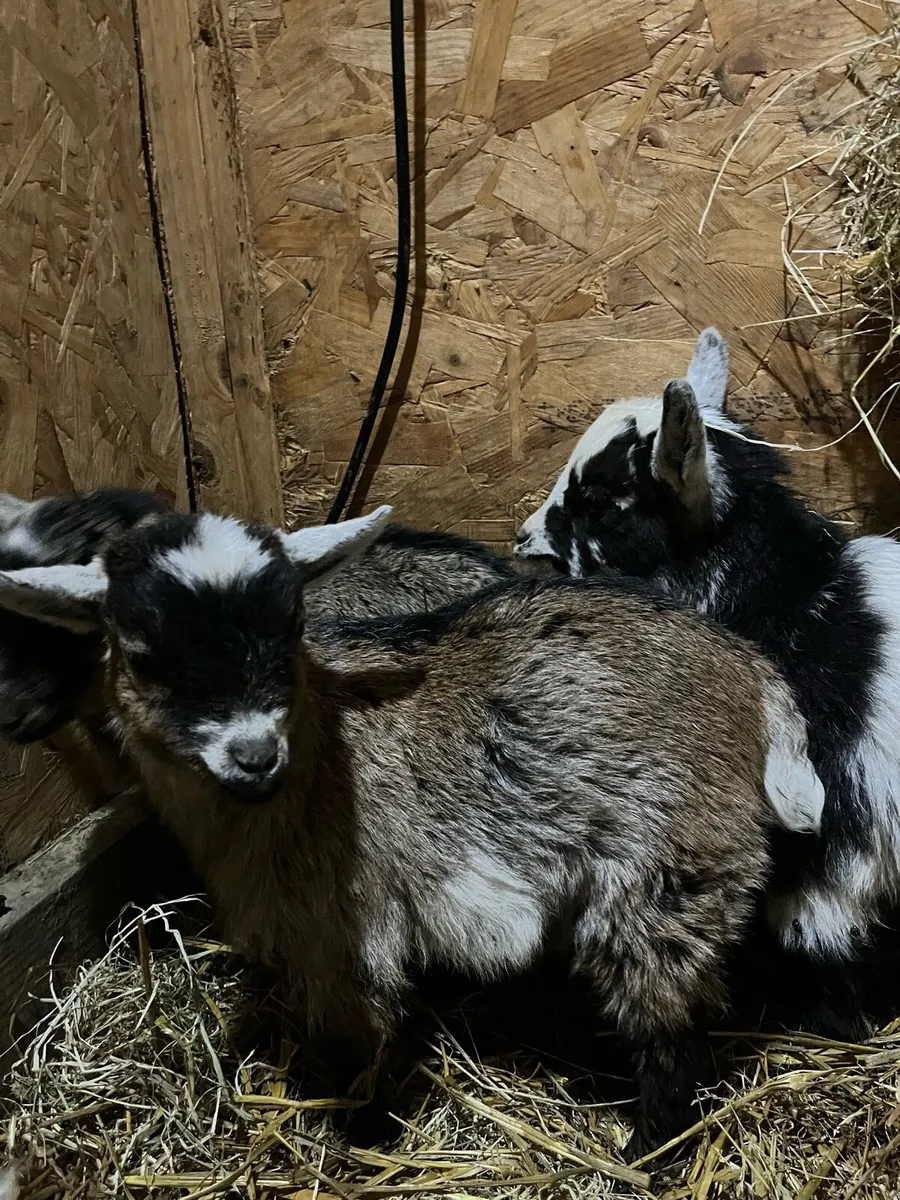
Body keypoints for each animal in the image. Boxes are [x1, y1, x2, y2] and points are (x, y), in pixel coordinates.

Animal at [0, 505, 824, 1157]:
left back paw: (648, 1150)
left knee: (671, 1027)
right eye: (144, 655)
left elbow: (364, 1037)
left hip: (671, 871)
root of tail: (751, 673)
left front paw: (360, 1130)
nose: (255, 755)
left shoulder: (350, 933)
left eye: (291, 627)